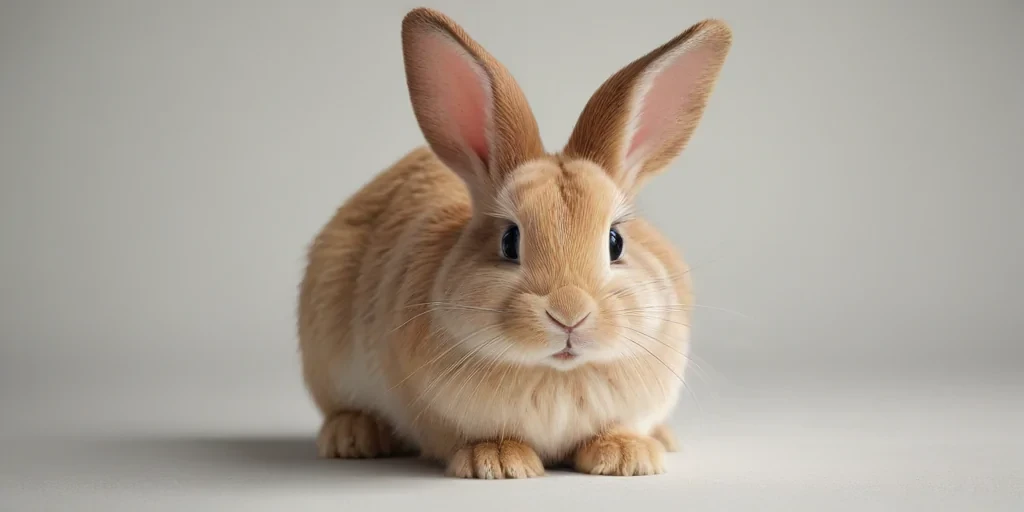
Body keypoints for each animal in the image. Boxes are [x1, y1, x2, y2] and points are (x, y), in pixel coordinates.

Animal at [297, 7, 732, 478]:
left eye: (616, 242)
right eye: (509, 241)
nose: (569, 314)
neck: (559, 374)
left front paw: (626, 456)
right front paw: (499, 462)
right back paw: (353, 437)